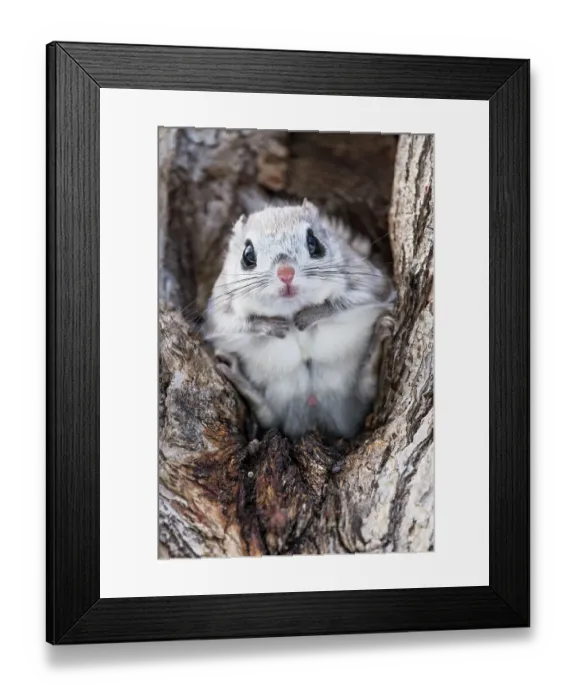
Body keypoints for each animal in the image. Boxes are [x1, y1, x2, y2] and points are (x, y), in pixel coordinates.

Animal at [202, 198, 396, 439]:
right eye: (247, 255)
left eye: (314, 242)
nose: (286, 273)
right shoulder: (219, 311)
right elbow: (231, 325)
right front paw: (271, 325)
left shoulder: (369, 283)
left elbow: (348, 302)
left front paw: (310, 315)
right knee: (267, 415)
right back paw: (237, 376)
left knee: (365, 389)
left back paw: (377, 344)